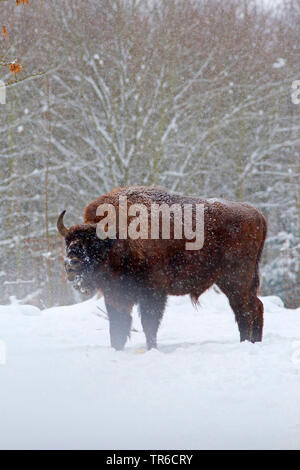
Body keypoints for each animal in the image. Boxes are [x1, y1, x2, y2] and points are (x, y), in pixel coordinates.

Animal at [56, 185, 268, 350]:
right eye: (68, 243)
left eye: (94, 245)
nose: (71, 265)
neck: (118, 240)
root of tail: (256, 213)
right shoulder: (114, 295)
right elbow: (117, 326)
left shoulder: (153, 294)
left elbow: (149, 324)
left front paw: (152, 349)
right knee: (255, 306)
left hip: (235, 280)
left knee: (244, 310)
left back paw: (246, 343)